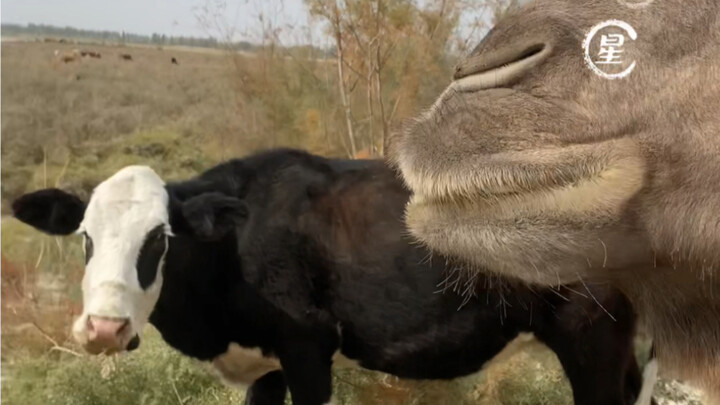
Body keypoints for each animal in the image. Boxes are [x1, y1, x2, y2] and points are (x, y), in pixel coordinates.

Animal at [11, 148, 652, 404]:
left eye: (159, 239)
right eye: (86, 237)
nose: (103, 329)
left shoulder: (307, 349)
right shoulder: (265, 366)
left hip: (592, 339)